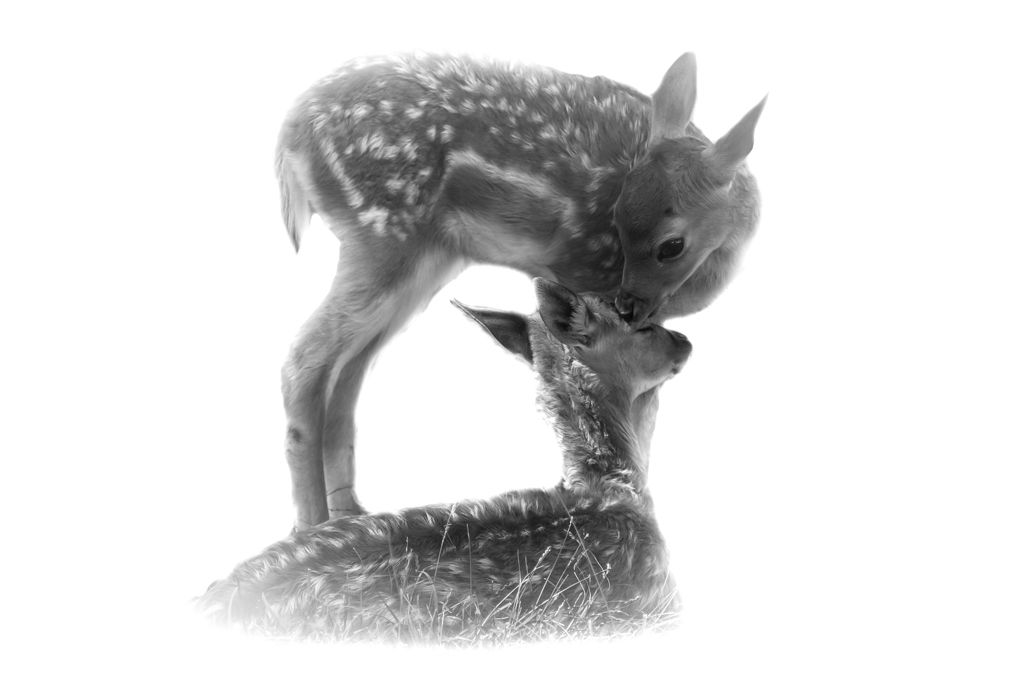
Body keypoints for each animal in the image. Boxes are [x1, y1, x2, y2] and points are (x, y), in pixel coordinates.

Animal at [278, 52, 764, 528]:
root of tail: (289, 136)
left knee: (350, 367)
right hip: (384, 234)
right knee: (305, 360)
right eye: (620, 221)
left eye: (669, 245)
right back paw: (310, 527)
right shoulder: (585, 280)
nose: (627, 305)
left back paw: (350, 512)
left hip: (422, 262)